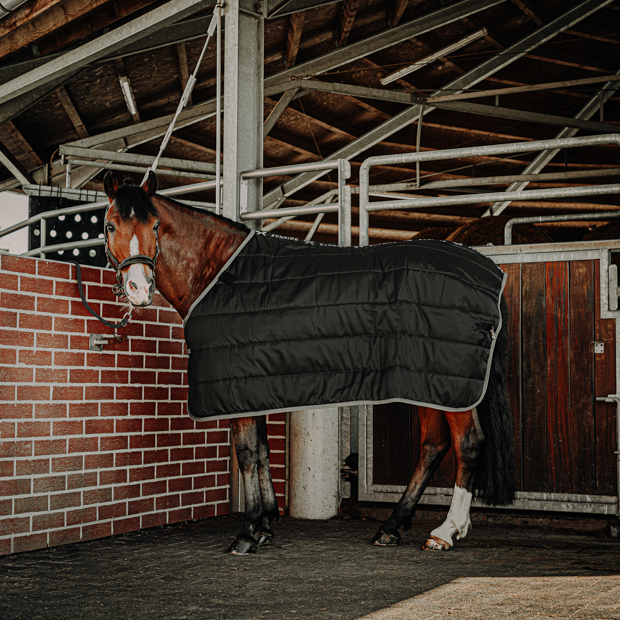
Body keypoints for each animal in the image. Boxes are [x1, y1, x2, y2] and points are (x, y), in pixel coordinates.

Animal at [103, 171, 520, 556]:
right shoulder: (253, 384)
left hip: (451, 385)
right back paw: (391, 526)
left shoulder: (238, 383)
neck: (218, 273)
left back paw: (446, 531)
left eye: (155, 226)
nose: (139, 289)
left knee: (468, 444)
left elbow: (247, 454)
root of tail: (490, 272)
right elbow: (263, 452)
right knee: (433, 446)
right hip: (427, 382)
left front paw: (248, 532)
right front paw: (266, 523)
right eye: (110, 225)